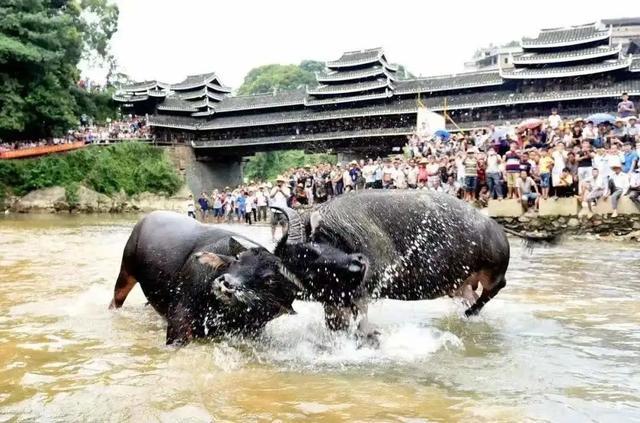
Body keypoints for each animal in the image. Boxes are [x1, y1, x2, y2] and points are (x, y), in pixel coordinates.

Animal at [109, 210, 298, 346]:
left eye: (270, 280)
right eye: (238, 258)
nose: (226, 283)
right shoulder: (179, 323)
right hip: (126, 272)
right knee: (116, 299)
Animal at [272, 191, 544, 334]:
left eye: (312, 248)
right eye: (307, 266)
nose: (359, 264)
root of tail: (496, 226)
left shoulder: (364, 291)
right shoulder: (336, 302)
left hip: (493, 271)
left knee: (496, 288)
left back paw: (470, 313)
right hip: (460, 285)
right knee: (473, 296)